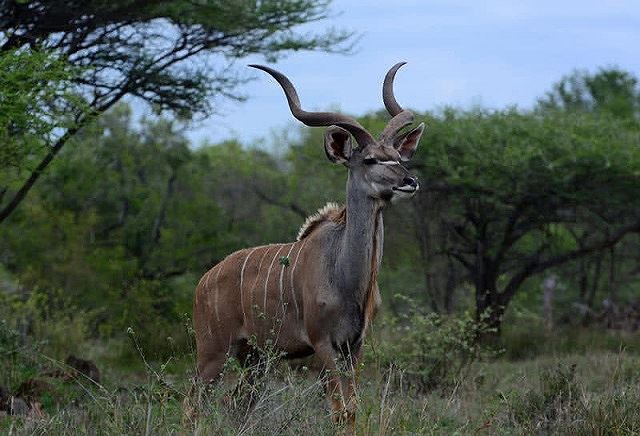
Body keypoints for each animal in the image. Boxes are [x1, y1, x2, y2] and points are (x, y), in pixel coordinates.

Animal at [195, 63, 424, 424]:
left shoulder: (354, 346)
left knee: (237, 403)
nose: (409, 181)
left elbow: (352, 409)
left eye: (397, 157)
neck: (345, 274)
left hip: (255, 359)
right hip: (214, 352)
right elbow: (339, 410)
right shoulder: (323, 344)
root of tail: (203, 282)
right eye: (370, 160)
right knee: (192, 404)